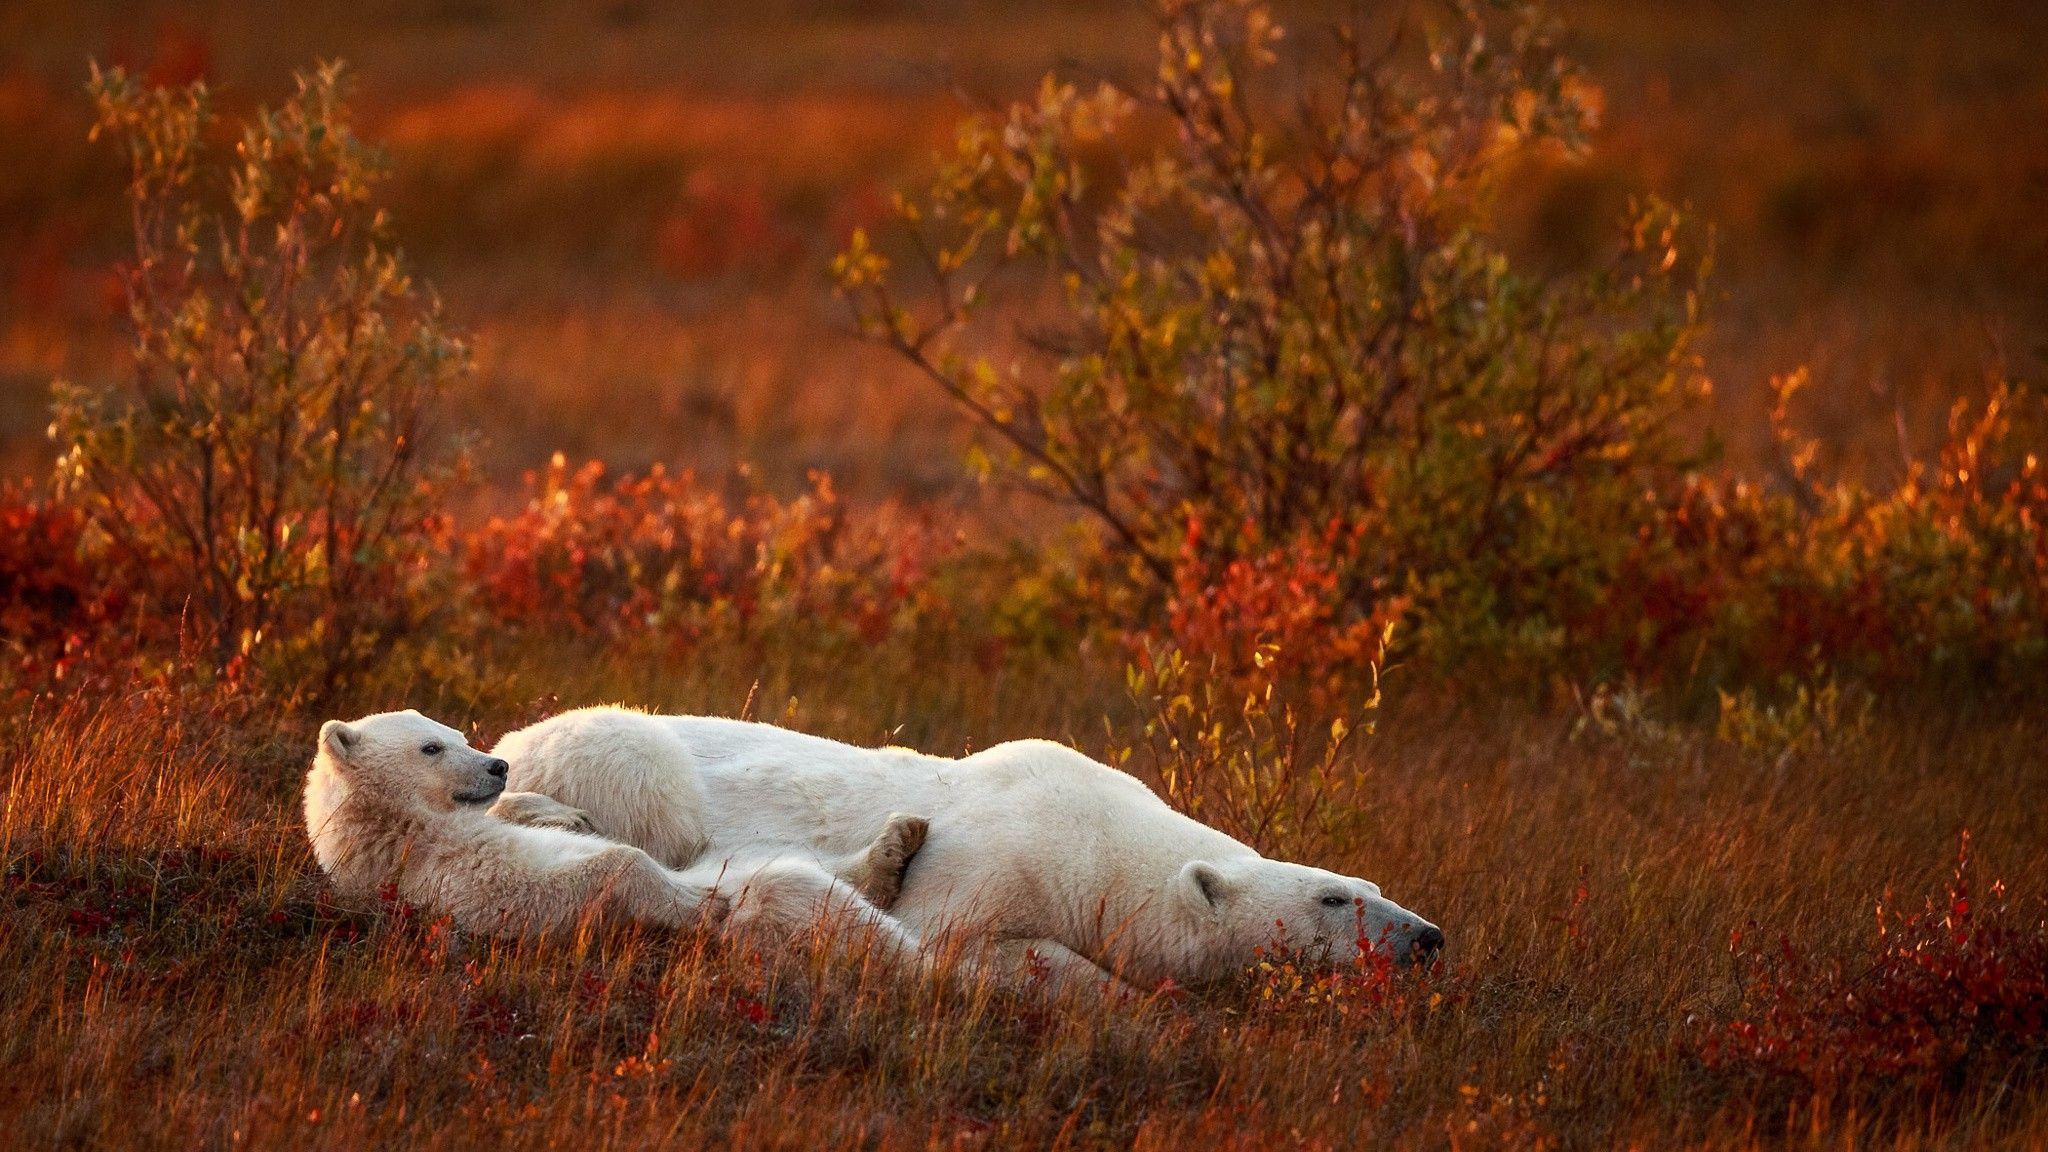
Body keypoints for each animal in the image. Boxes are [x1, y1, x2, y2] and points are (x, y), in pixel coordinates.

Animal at [304, 709, 927, 960]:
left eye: (456, 732)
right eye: (431, 747)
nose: (497, 766)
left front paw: (564, 815)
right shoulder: (440, 874)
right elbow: (582, 877)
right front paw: (701, 905)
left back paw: (898, 842)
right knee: (785, 884)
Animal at [494, 706, 1443, 993]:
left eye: (1369, 882)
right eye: (1333, 900)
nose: (1428, 936)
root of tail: (505, 736)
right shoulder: (992, 862)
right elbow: (970, 940)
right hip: (622, 757)